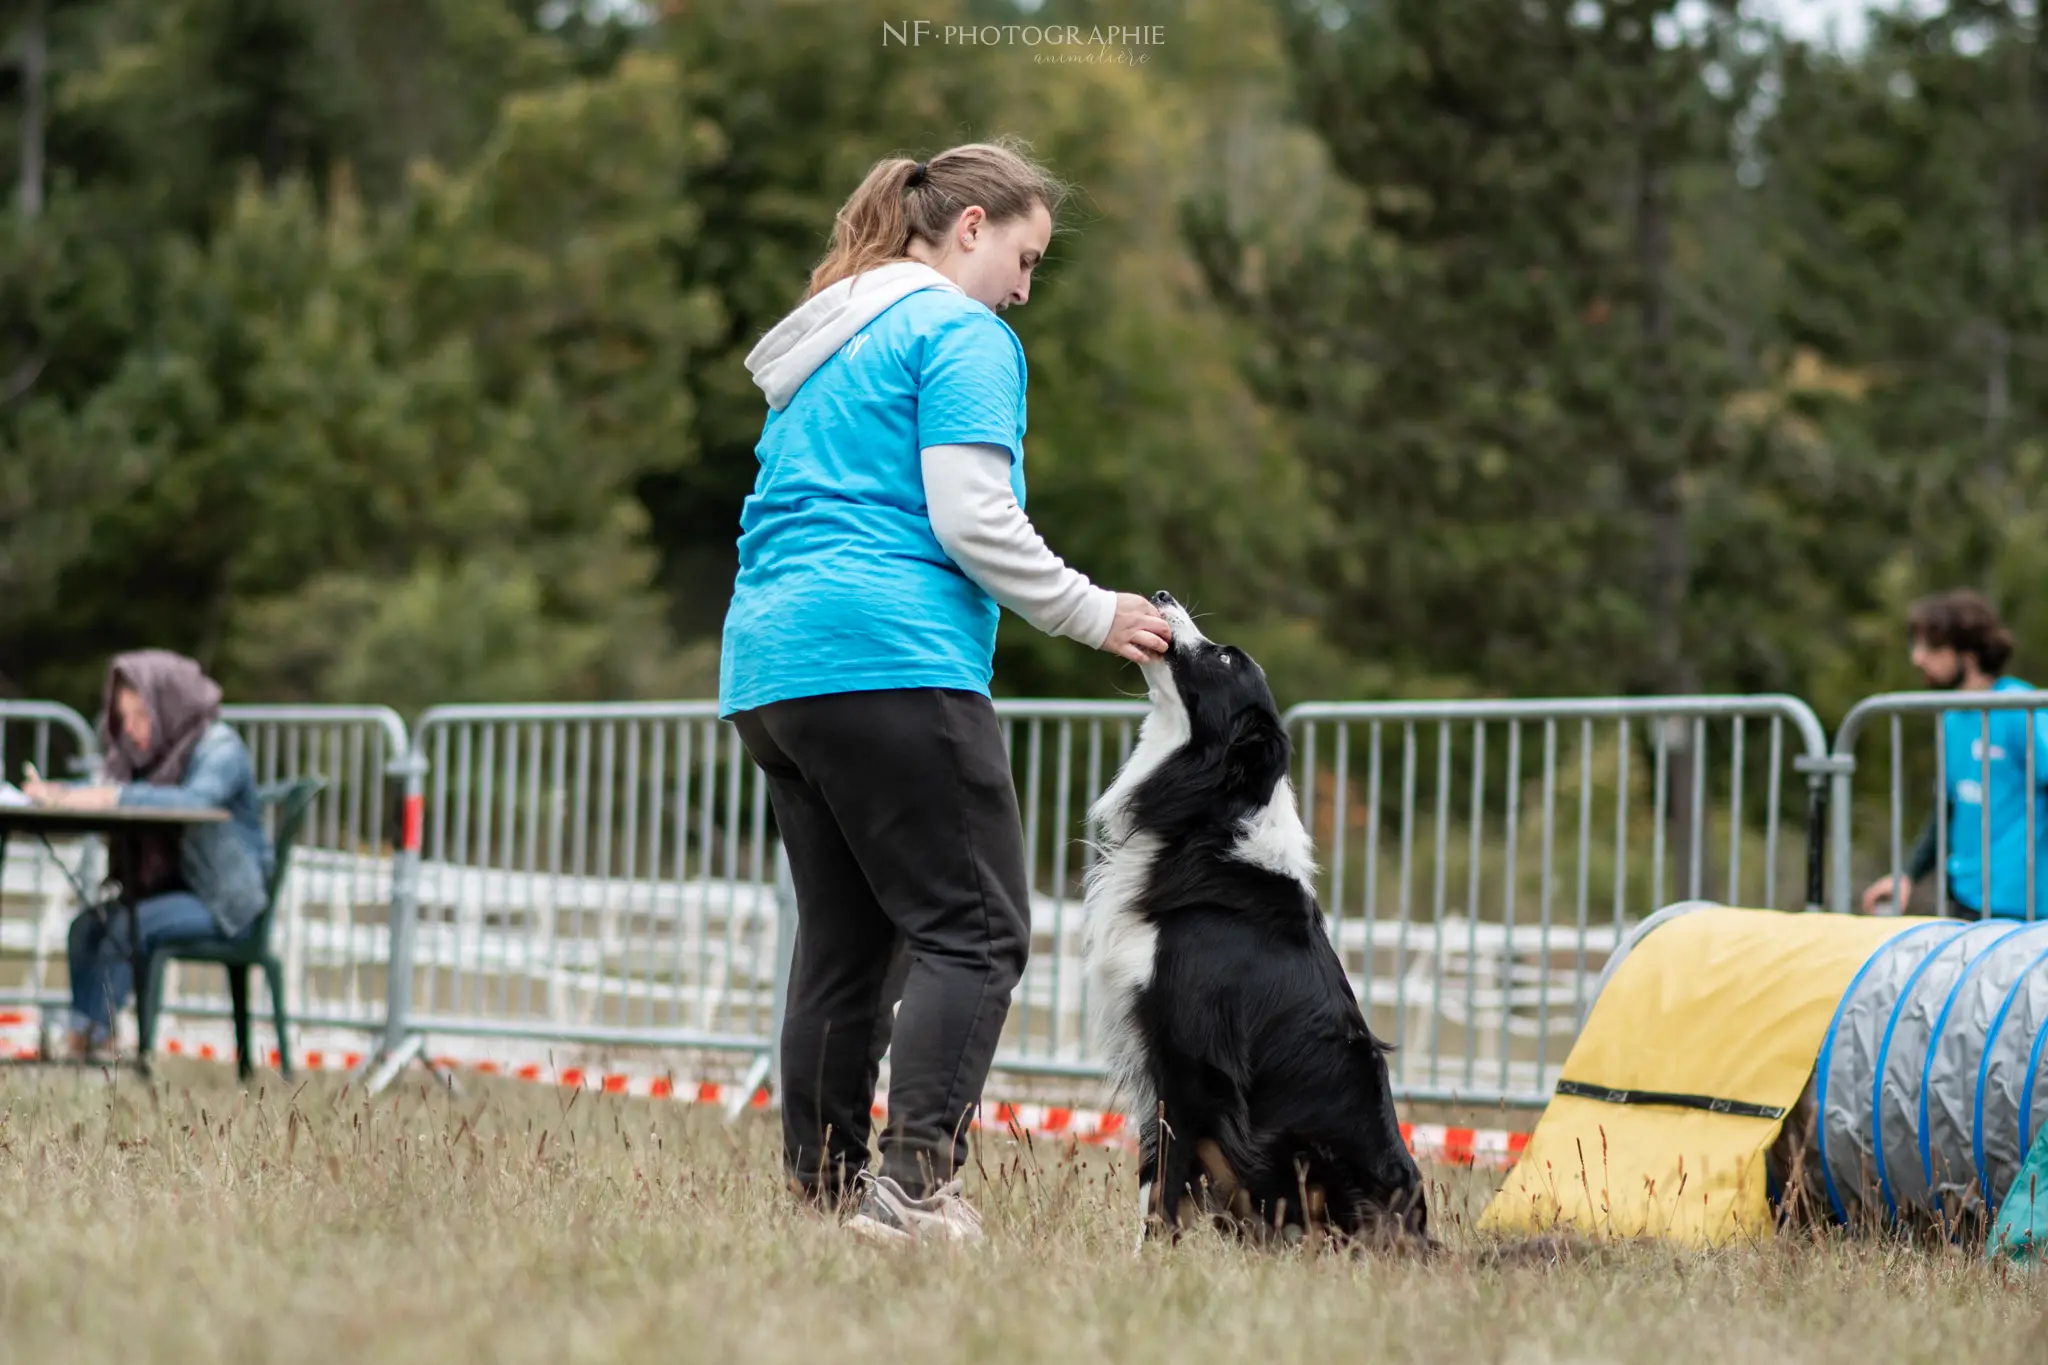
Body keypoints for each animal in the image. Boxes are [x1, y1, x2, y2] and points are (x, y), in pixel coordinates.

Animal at [1089, 593, 1425, 1252]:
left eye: (1224, 657)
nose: (1162, 597)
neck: (1207, 820)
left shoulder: (1188, 1054)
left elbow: (1166, 1176)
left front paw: (1150, 1257)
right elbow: (1151, 1168)